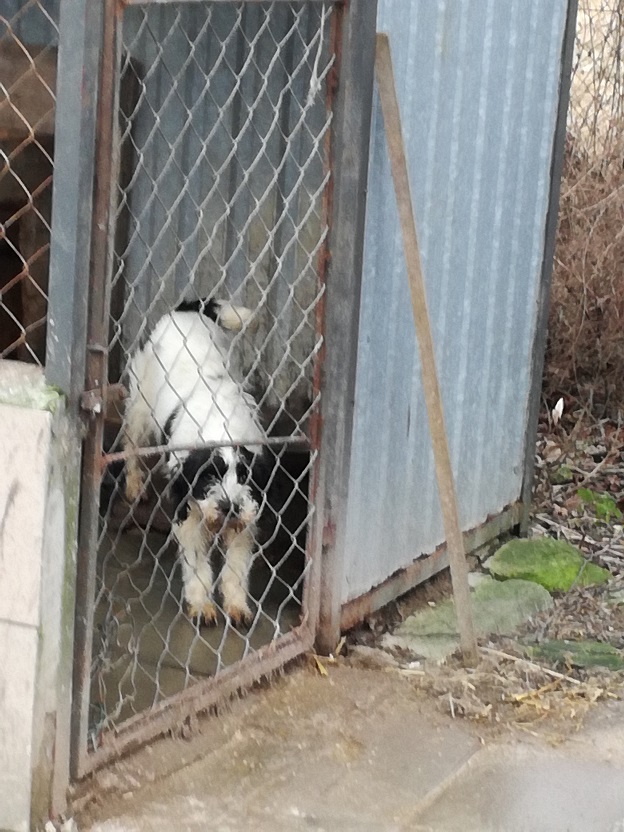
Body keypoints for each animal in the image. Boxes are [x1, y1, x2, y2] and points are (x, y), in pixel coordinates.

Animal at [123, 297, 270, 627]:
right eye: (208, 476)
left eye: (244, 476)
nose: (229, 507)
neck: (220, 426)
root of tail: (186, 308)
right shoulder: (187, 512)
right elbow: (197, 562)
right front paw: (202, 605)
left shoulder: (246, 513)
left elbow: (236, 565)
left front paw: (237, 605)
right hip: (140, 405)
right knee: (132, 444)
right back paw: (134, 484)